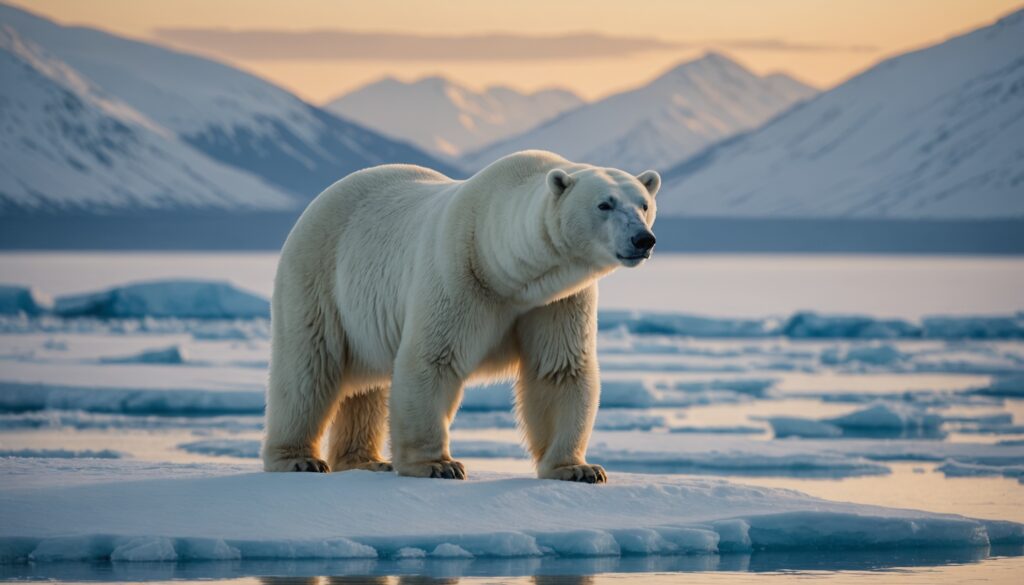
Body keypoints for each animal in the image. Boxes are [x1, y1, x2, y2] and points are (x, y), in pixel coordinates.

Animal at [262, 149, 655, 481]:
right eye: (604, 204)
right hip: (318, 278)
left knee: (366, 385)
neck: (507, 269)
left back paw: (366, 460)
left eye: (644, 204)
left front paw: (579, 469)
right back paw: (299, 459)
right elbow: (433, 358)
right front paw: (438, 465)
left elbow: (559, 368)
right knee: (308, 369)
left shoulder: (556, 300)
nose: (643, 239)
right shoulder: (458, 275)